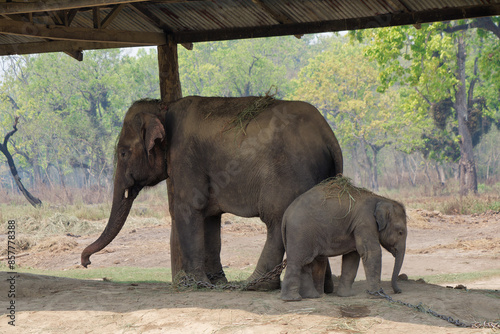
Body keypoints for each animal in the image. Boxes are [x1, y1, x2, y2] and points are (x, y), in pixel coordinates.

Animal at [81, 96, 344, 290]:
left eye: (123, 153)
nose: (85, 262)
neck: (163, 106)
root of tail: (329, 135)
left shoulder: (185, 156)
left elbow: (187, 208)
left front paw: (195, 283)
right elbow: (209, 217)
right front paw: (217, 281)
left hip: (288, 173)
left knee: (278, 221)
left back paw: (255, 285)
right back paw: (323, 288)